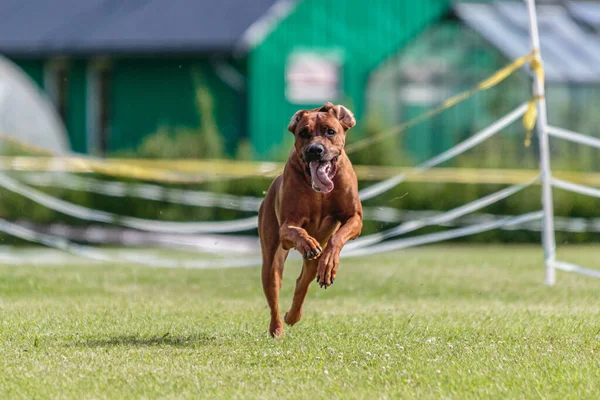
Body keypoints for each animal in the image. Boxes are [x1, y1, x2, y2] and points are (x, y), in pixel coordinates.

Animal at [256, 101, 360, 336]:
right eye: (303, 133)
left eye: (330, 131)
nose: (315, 150)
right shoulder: (287, 227)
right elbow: (295, 230)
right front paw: (307, 242)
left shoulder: (355, 218)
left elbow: (337, 237)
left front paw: (329, 264)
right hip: (270, 261)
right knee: (273, 288)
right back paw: (278, 327)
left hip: (310, 266)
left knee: (303, 281)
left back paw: (294, 315)